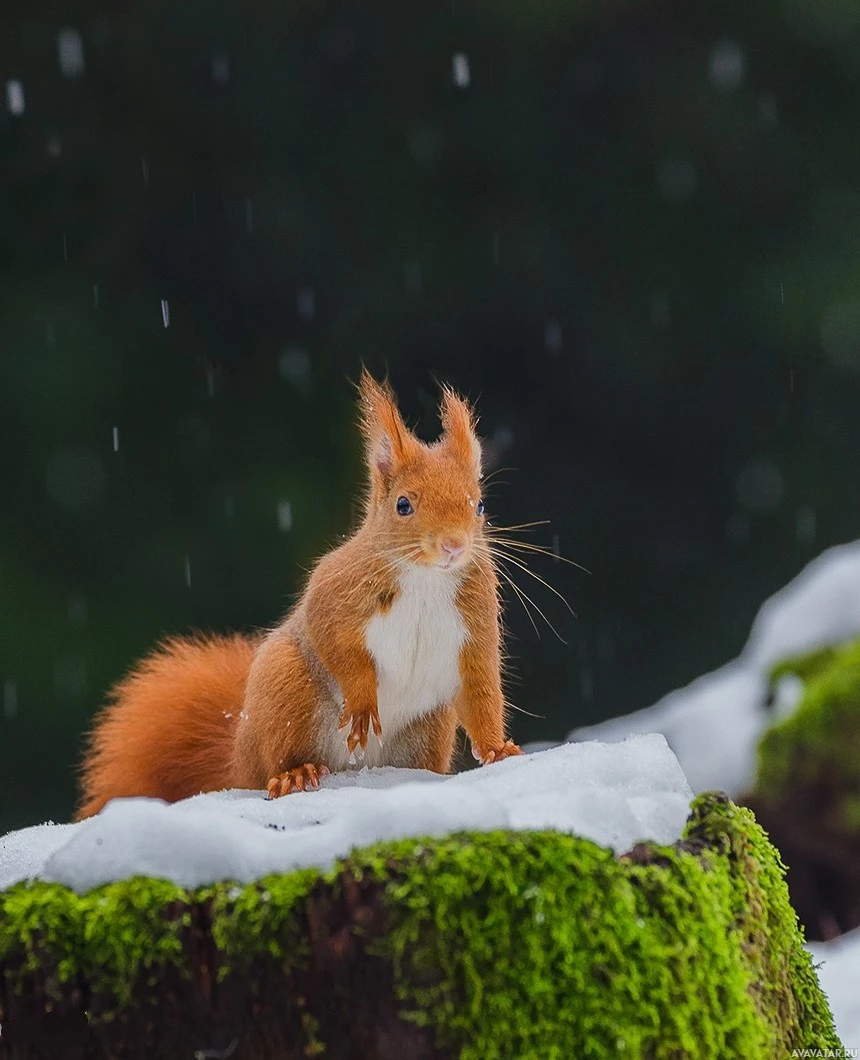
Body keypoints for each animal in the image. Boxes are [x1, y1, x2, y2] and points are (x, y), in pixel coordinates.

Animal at [79, 373, 523, 818]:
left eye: (479, 505)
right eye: (403, 505)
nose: (454, 546)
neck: (426, 579)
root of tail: (239, 755)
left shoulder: (475, 623)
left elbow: (481, 690)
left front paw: (499, 750)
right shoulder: (334, 593)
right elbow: (334, 641)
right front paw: (362, 702)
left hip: (431, 724)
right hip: (286, 683)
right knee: (276, 761)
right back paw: (294, 774)